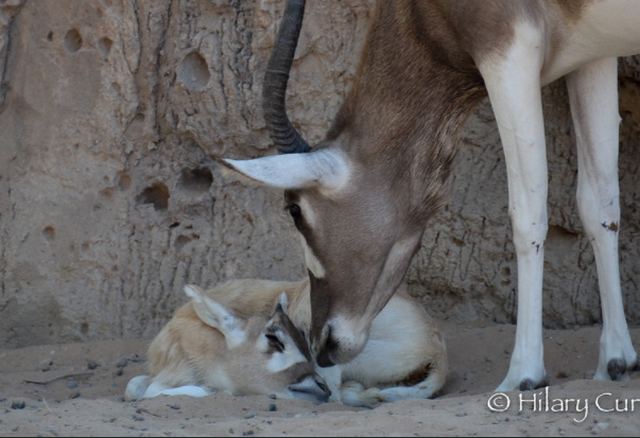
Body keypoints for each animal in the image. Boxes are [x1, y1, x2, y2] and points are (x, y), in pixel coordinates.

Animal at [221, 0, 640, 390]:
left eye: (295, 210)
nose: (323, 345)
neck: (418, 13)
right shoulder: (594, 56)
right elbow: (599, 203)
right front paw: (615, 361)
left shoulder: (509, 50)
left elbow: (528, 214)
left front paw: (523, 374)